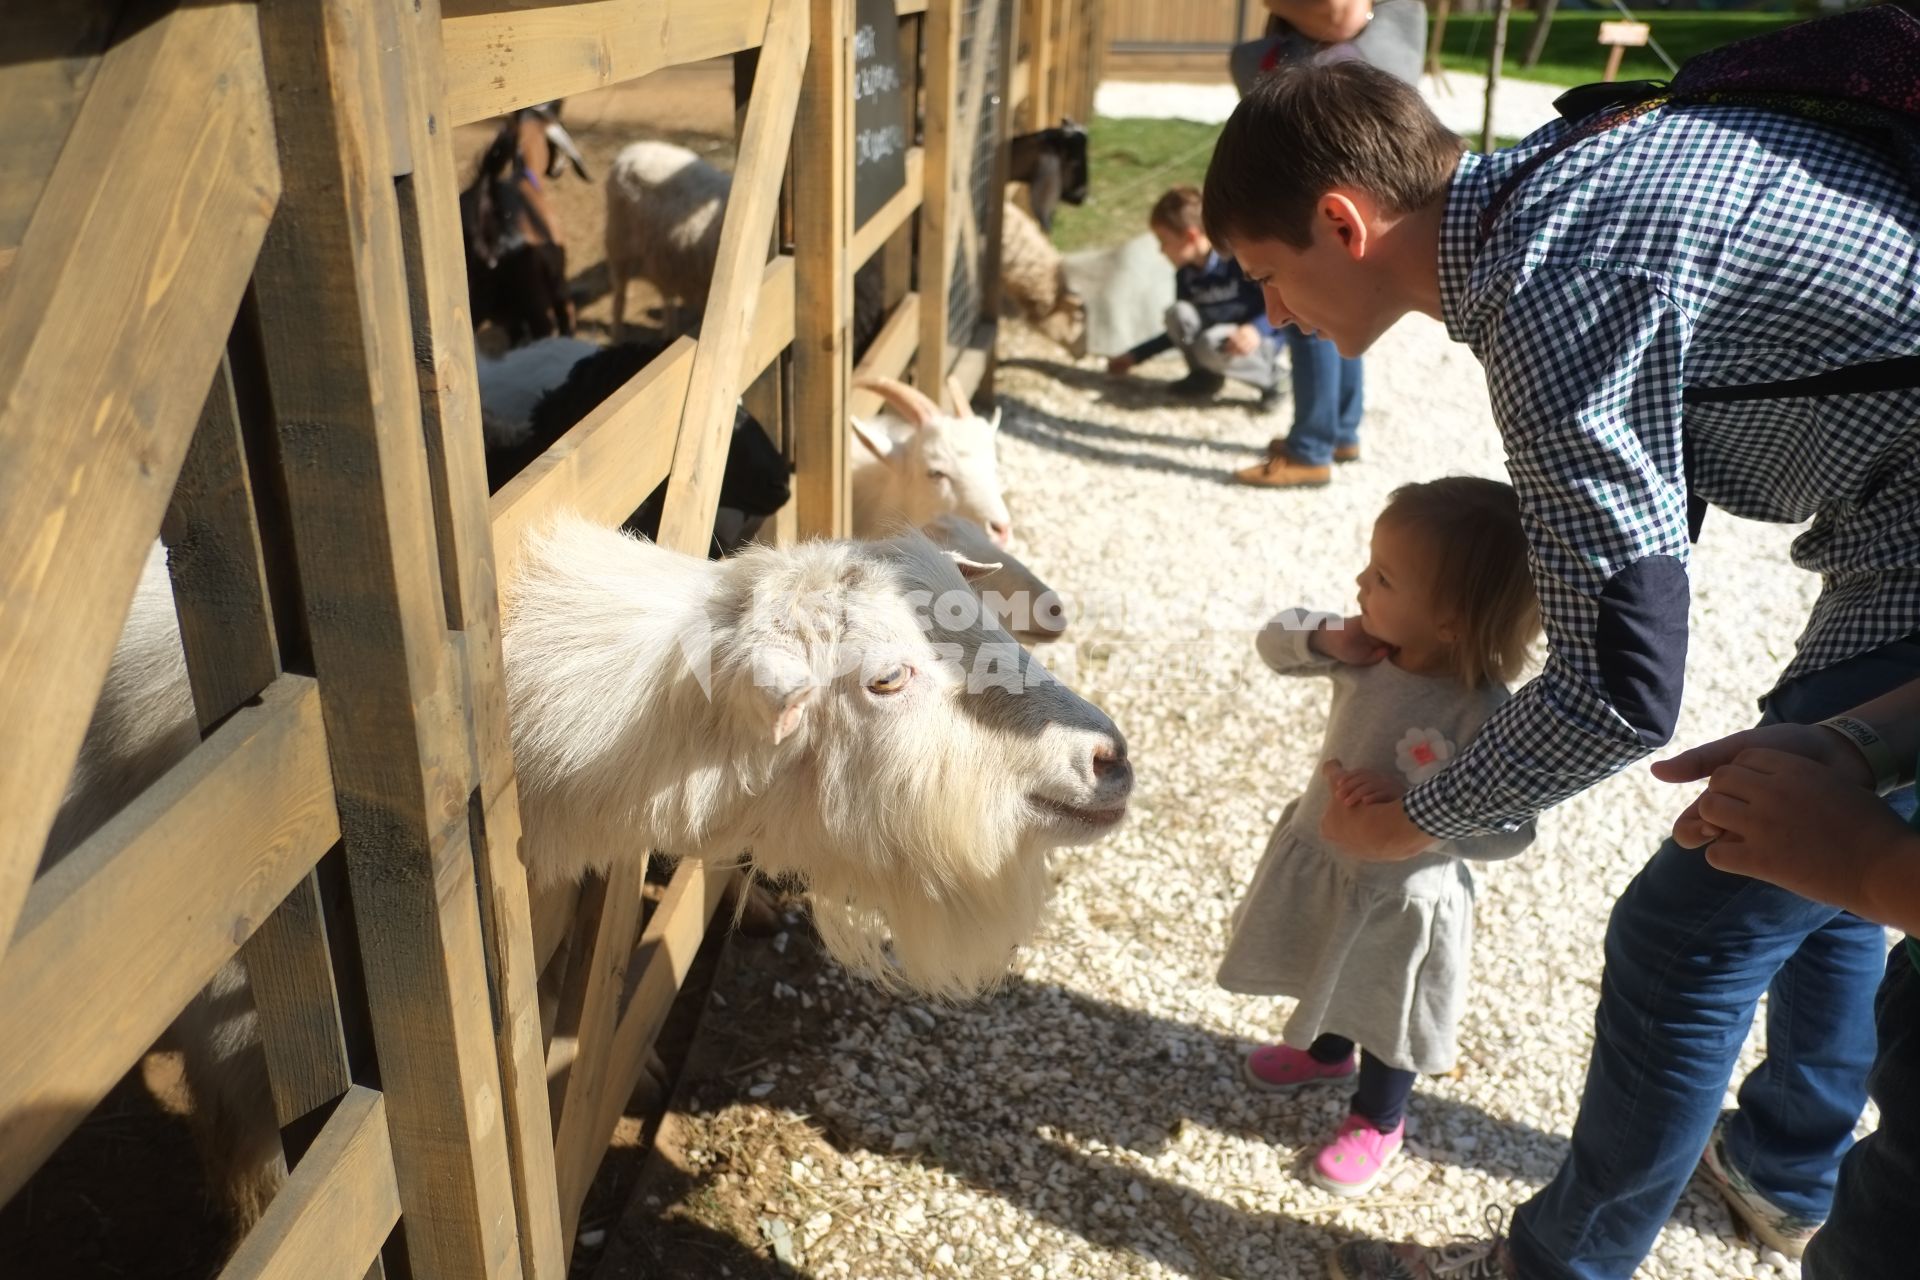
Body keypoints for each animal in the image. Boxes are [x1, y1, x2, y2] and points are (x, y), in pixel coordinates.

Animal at [602, 141, 729, 339]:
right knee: (619, 291)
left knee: (665, 290)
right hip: (618, 242)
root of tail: (630, 150)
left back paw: (670, 331)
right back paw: (618, 334)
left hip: (662, 254)